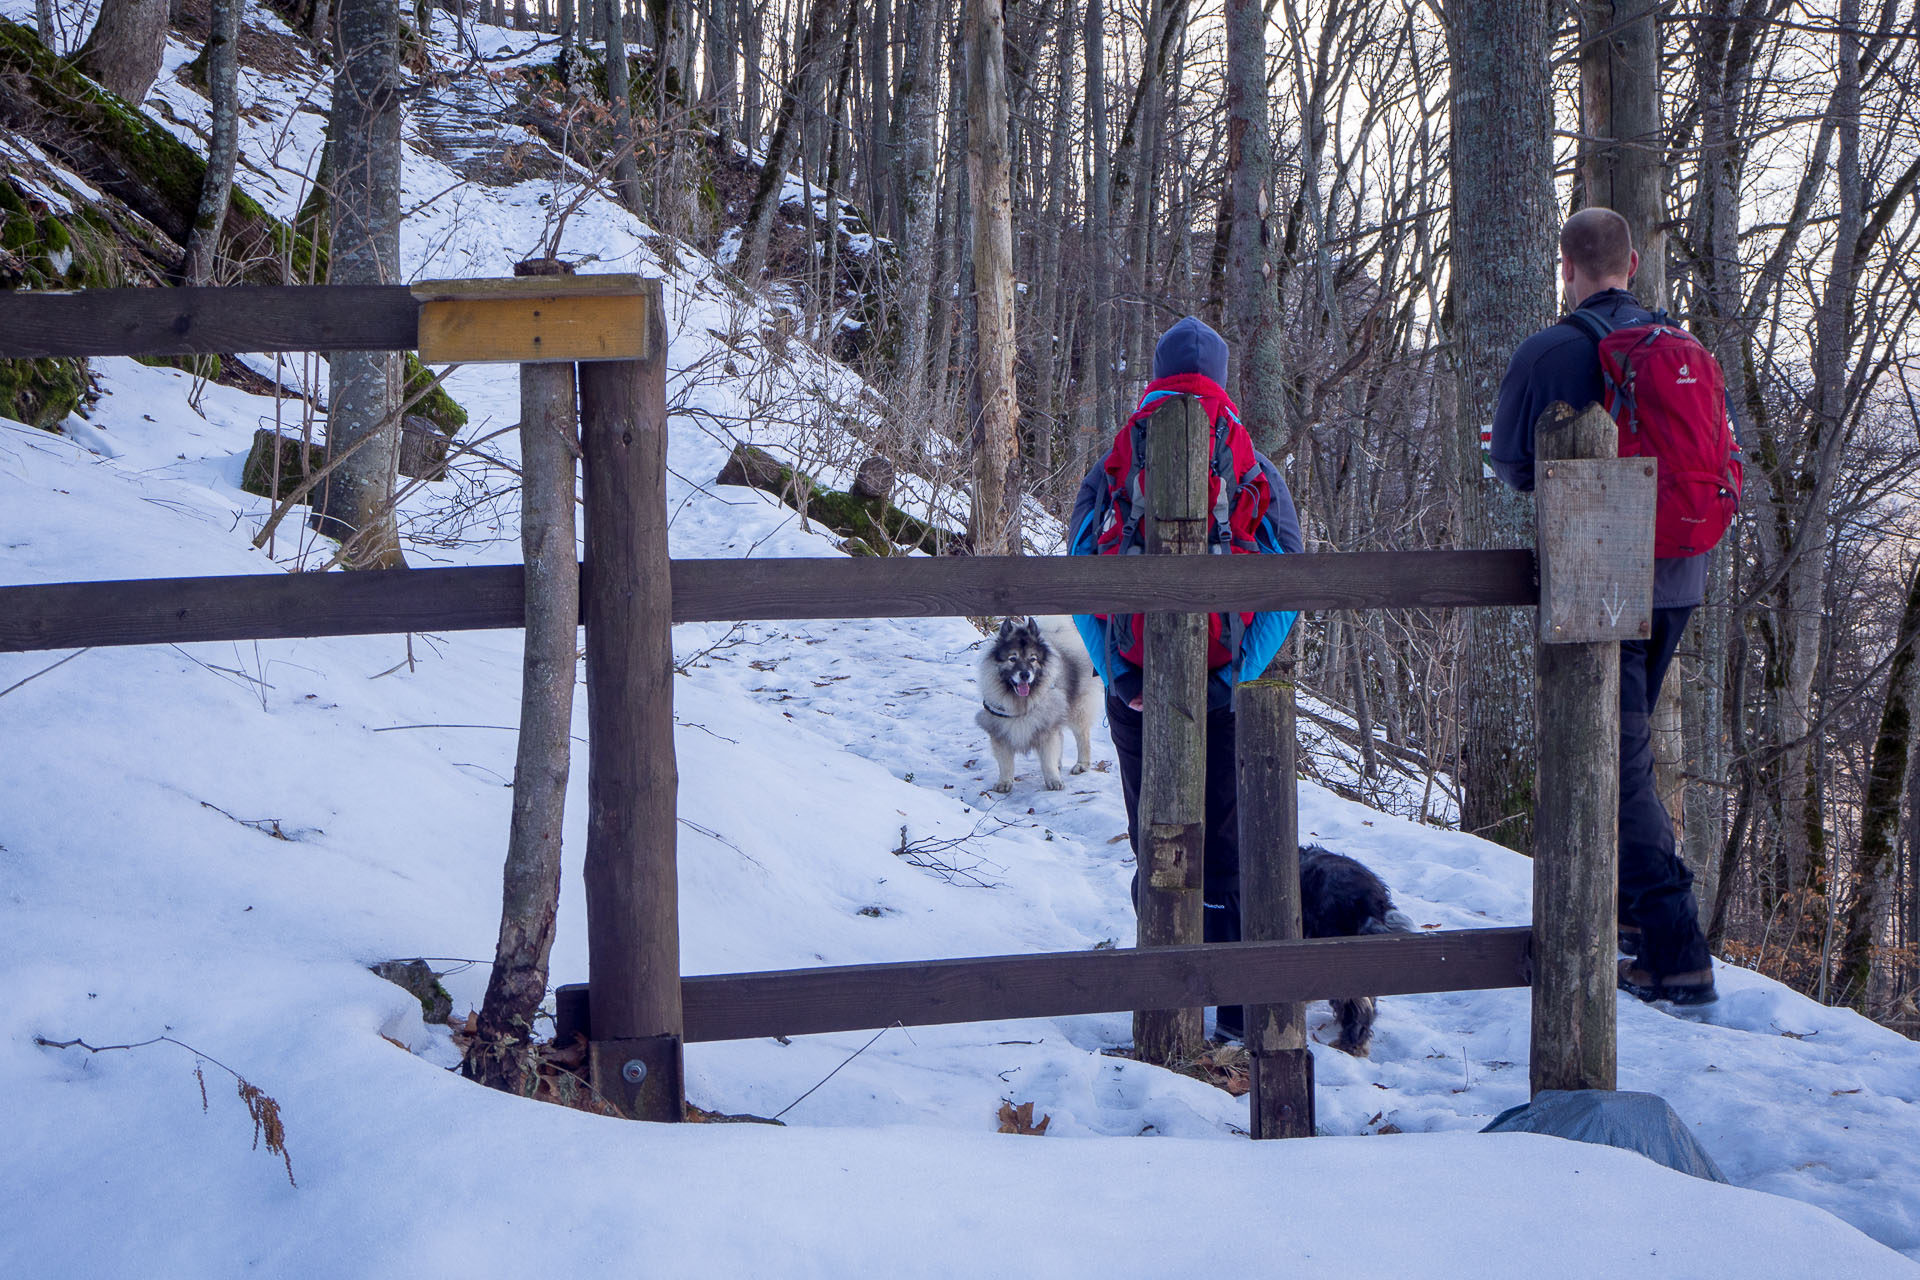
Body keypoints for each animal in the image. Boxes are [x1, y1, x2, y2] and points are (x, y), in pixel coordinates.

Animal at [975, 617, 1098, 794]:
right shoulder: (1000, 732)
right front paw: (1004, 782)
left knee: (1083, 737)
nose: (1025, 674)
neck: (1020, 701)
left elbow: (1047, 760)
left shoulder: (1046, 727)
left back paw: (1082, 765)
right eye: (1012, 658)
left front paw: (1053, 780)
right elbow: (1005, 764)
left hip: (1075, 710)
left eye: (1032, 659)